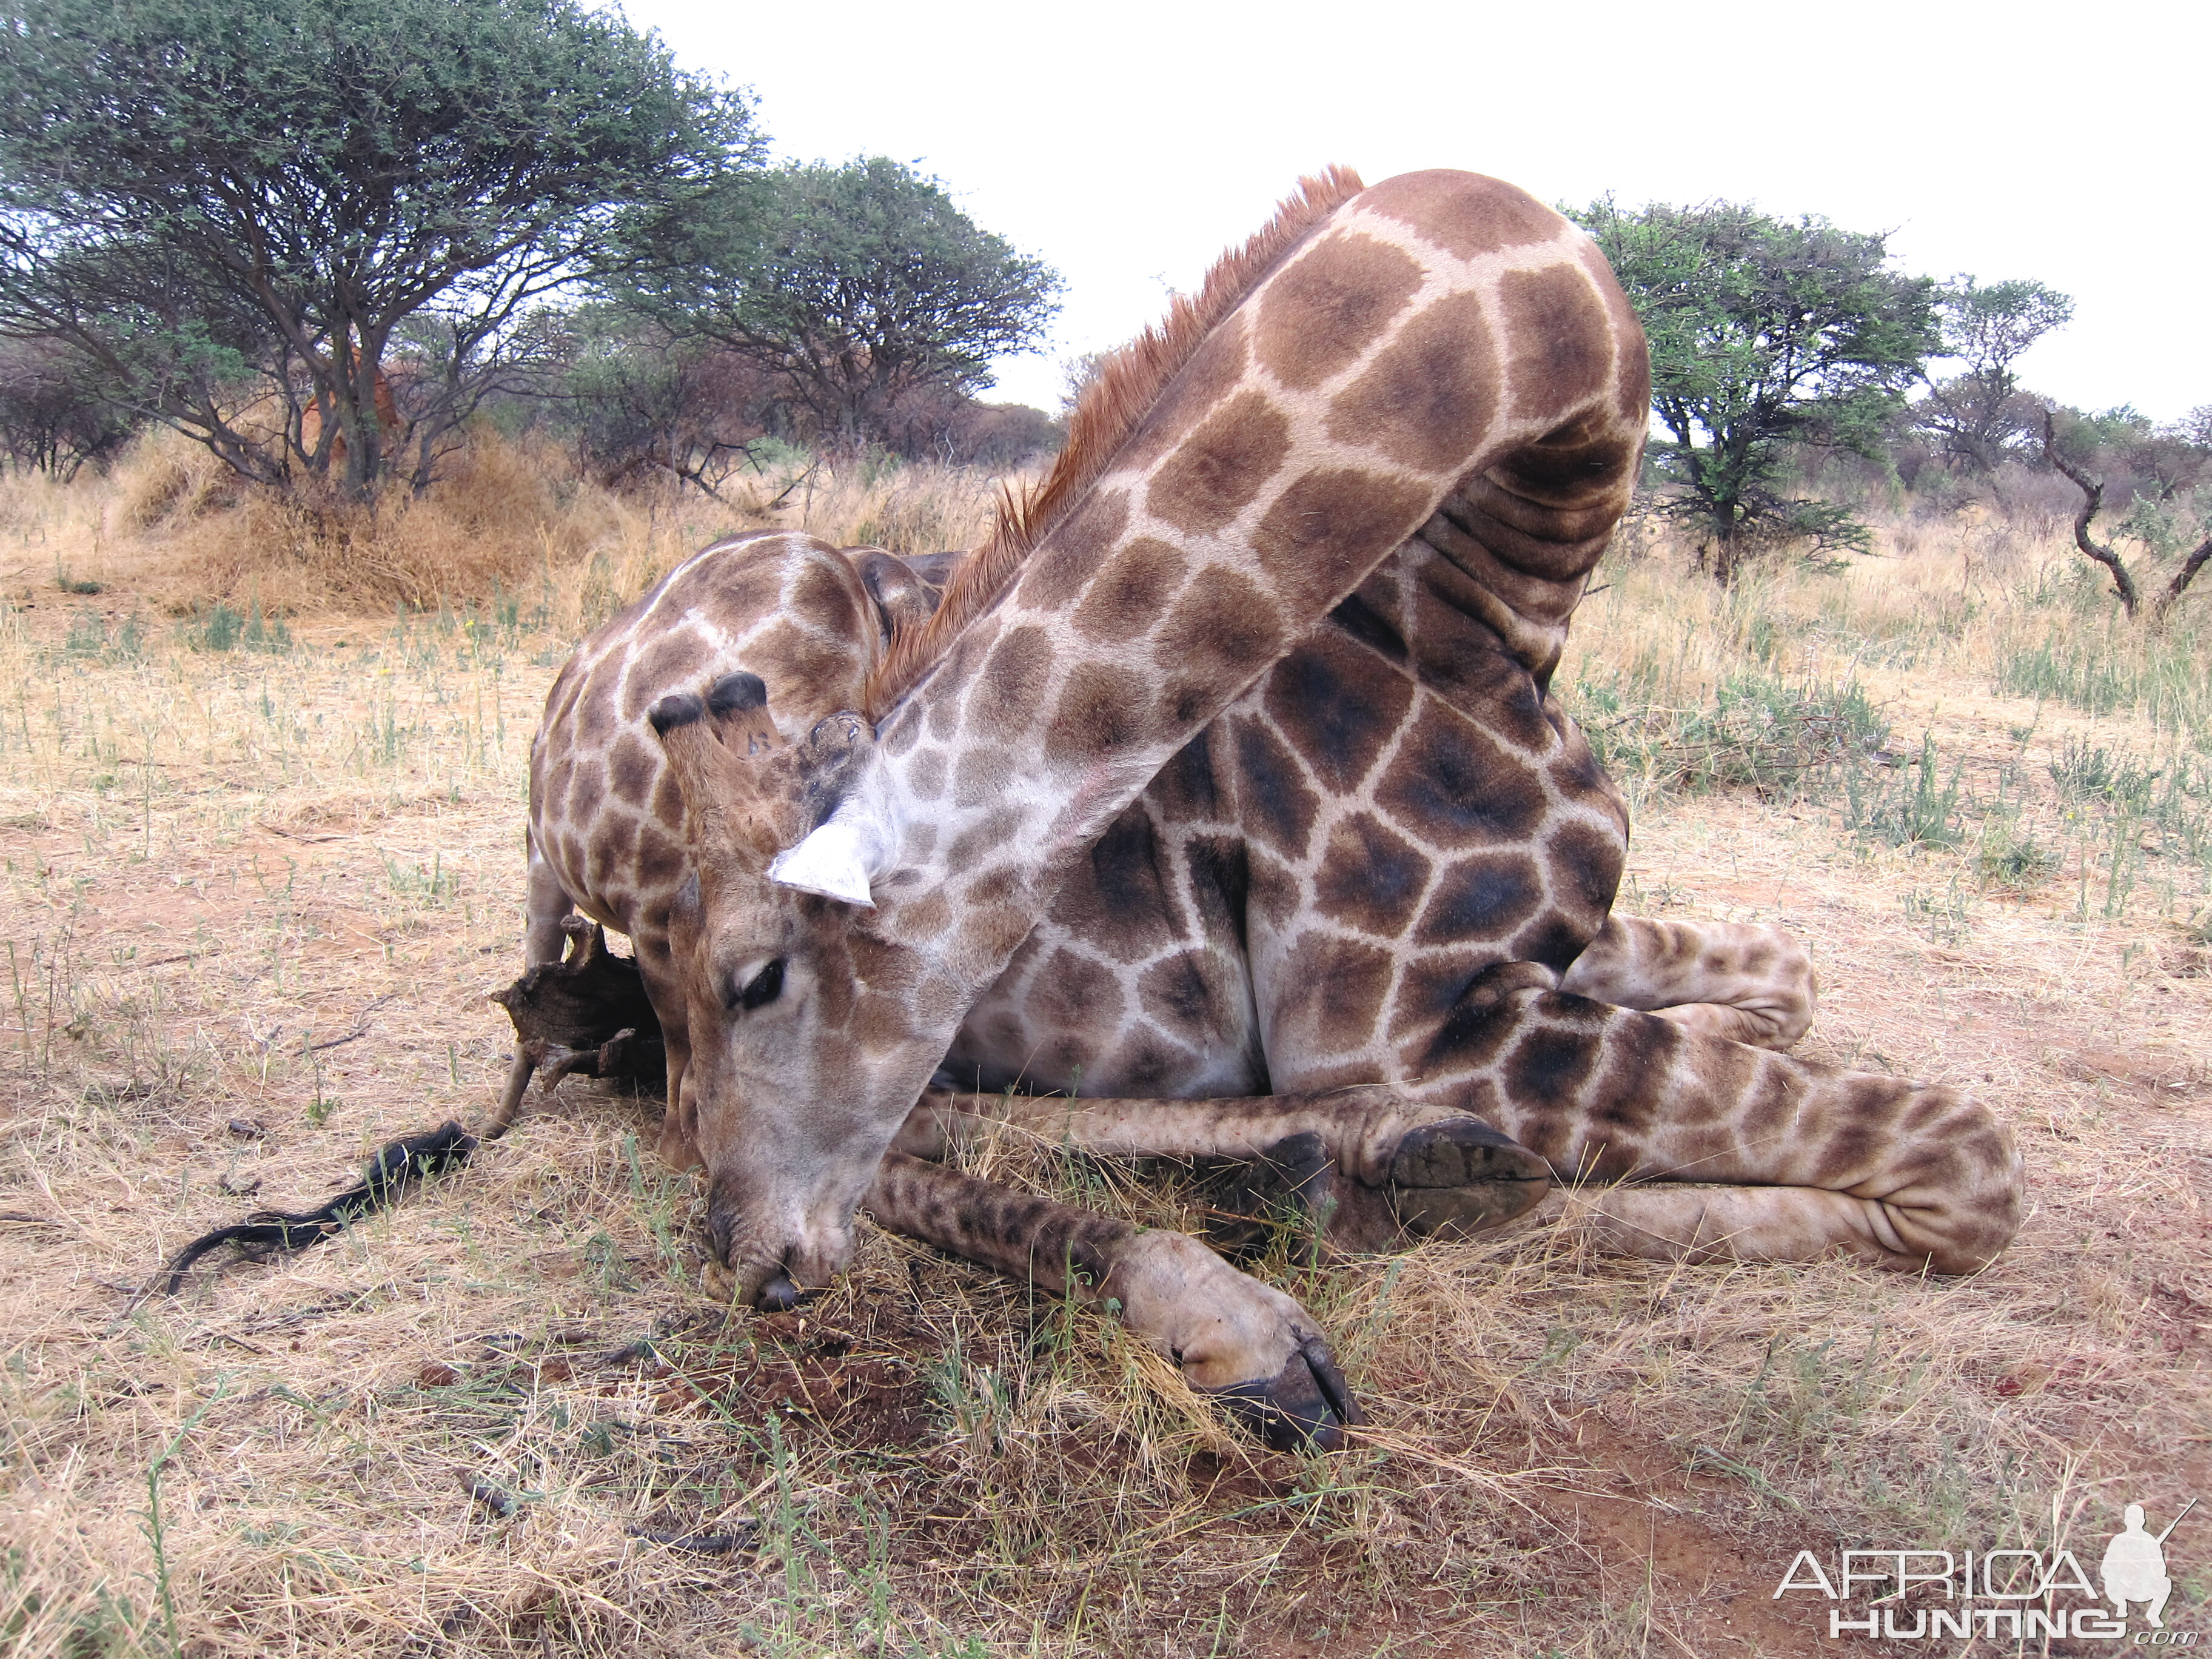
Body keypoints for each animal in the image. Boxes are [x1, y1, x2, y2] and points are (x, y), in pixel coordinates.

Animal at [513, 163, 2026, 1451]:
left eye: (761, 978)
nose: (748, 1262)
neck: (1490, 616)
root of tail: (547, 767)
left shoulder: (1548, 954)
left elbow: (1793, 981)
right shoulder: (1421, 1024)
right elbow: (1969, 1171)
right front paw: (1436, 1193)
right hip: (783, 637)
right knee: (708, 1108)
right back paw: (1276, 1262)